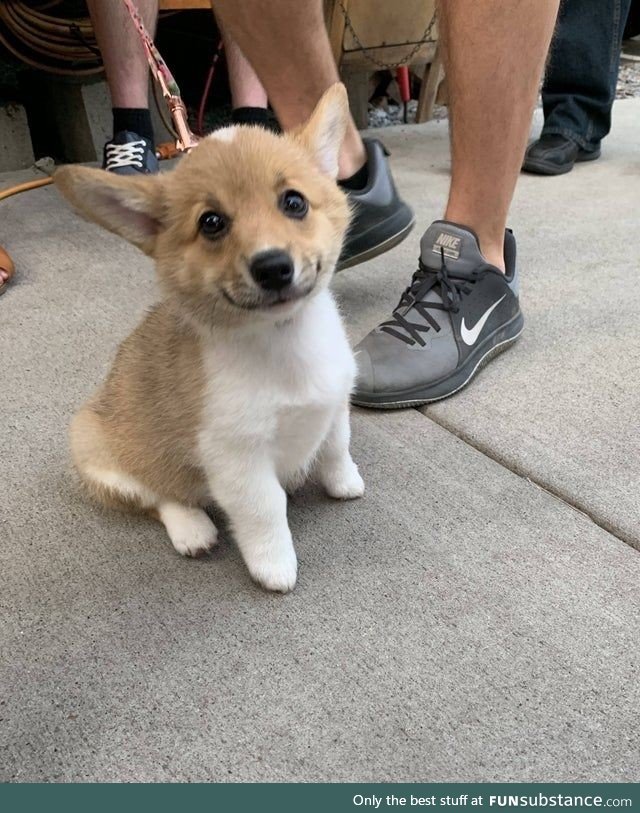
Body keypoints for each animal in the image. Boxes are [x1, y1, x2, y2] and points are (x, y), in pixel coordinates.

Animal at [53, 84, 364, 588]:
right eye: (211, 223)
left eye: (294, 202)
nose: (272, 266)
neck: (283, 340)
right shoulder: (236, 459)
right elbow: (265, 511)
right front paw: (275, 566)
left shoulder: (335, 405)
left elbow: (336, 448)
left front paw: (343, 483)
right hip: (99, 453)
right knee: (161, 495)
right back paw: (192, 530)